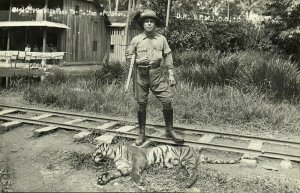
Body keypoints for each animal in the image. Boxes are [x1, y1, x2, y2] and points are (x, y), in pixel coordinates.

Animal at [92, 142, 241, 188]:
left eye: (96, 147)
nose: (92, 155)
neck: (114, 154)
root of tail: (196, 151)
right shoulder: (123, 167)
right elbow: (113, 172)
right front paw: (102, 178)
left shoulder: (138, 158)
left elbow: (135, 171)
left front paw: (139, 181)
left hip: (187, 160)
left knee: (195, 173)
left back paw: (187, 183)